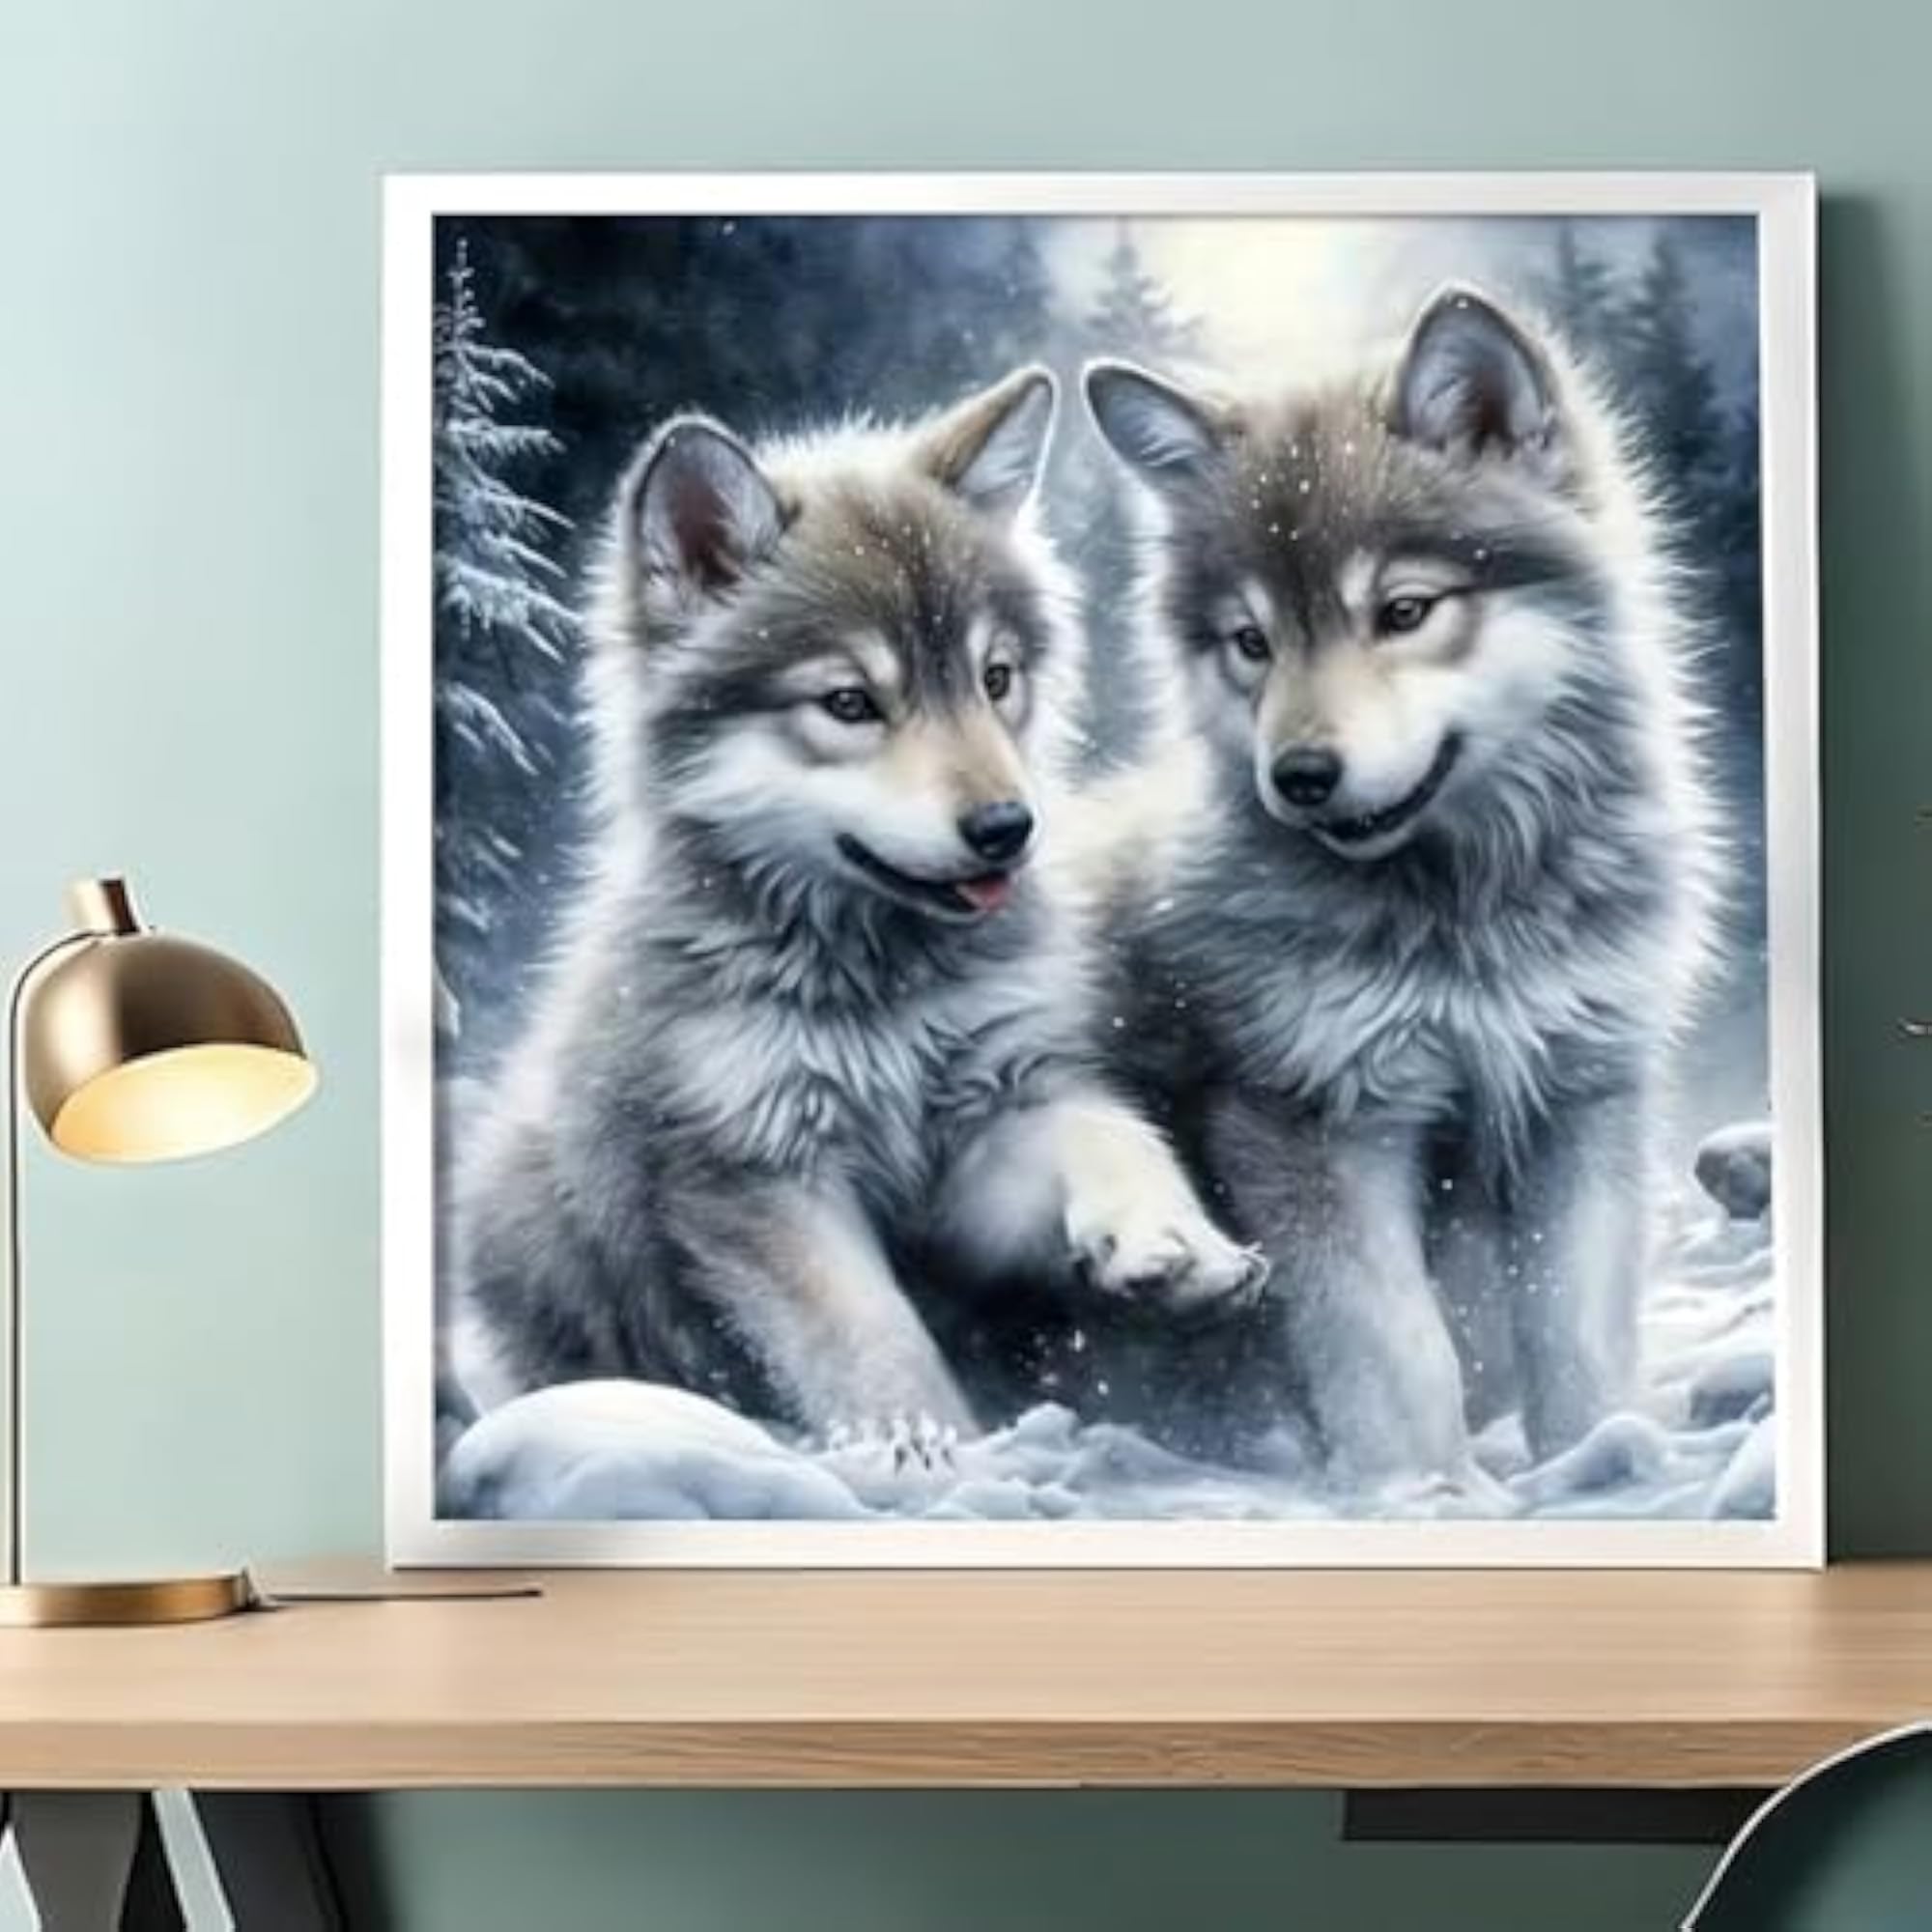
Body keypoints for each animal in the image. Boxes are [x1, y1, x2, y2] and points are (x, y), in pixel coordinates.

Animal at [451, 366, 1264, 1443]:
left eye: (994, 678)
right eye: (848, 703)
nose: (1008, 827)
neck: (880, 984)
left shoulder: (988, 1124)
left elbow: (1113, 1132)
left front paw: (1172, 1235)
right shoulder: (756, 1181)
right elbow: (876, 1348)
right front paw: (936, 1453)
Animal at [1080, 288, 1718, 1488]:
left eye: (1403, 611)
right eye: (1250, 641)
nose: (1298, 776)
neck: (1468, 910)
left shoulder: (1580, 1097)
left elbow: (1573, 1333)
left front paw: (1598, 1465)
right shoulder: (1315, 1123)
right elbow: (1396, 1347)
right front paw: (1419, 1492)